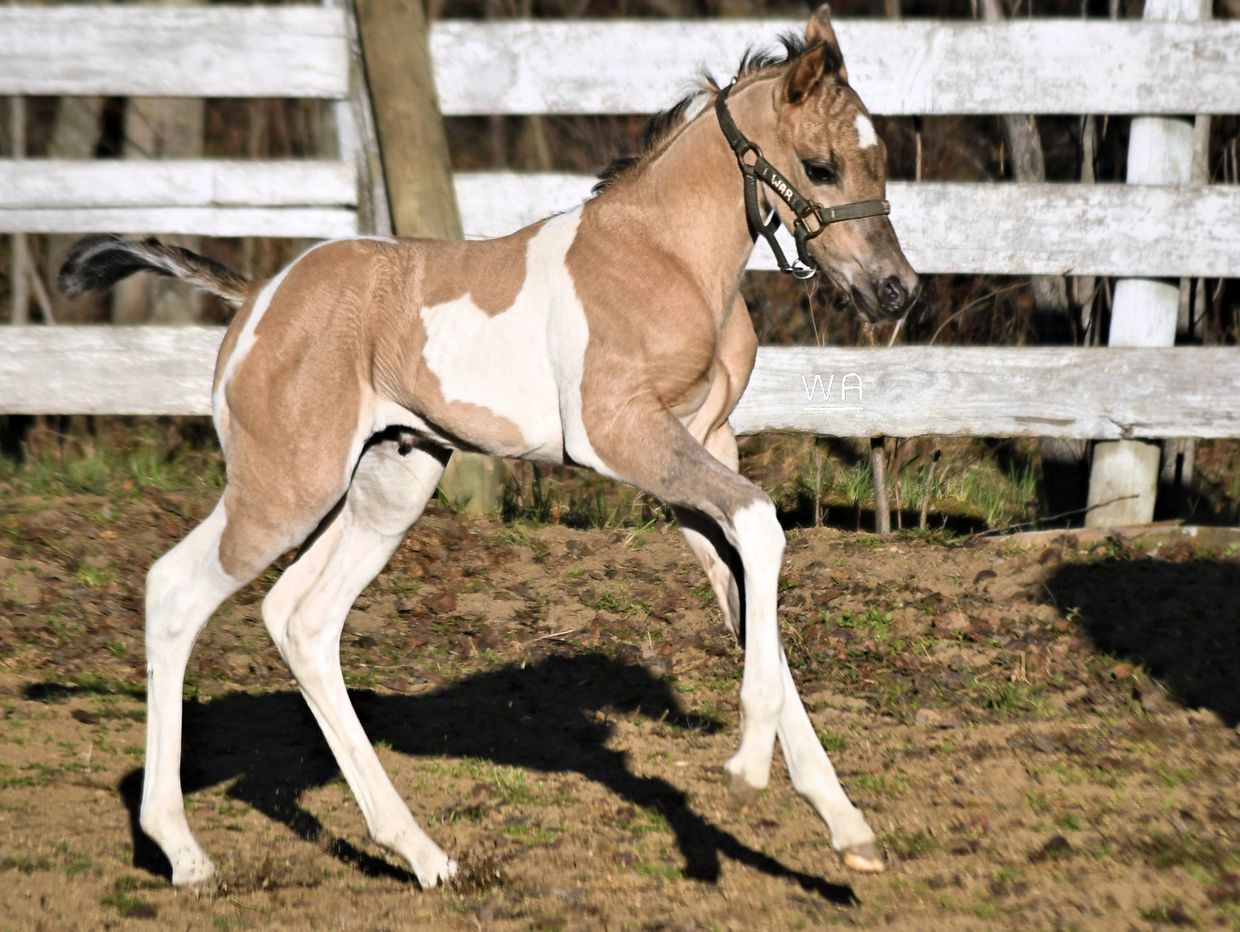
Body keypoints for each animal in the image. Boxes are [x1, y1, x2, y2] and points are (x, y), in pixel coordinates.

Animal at [59, 5, 917, 890]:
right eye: (819, 167)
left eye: (881, 160)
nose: (897, 290)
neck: (666, 256)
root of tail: (259, 295)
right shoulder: (622, 434)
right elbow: (762, 528)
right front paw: (747, 768)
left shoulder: (700, 449)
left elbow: (752, 602)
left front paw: (848, 828)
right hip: (285, 486)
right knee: (175, 591)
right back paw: (185, 851)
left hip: (388, 484)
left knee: (302, 620)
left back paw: (423, 854)